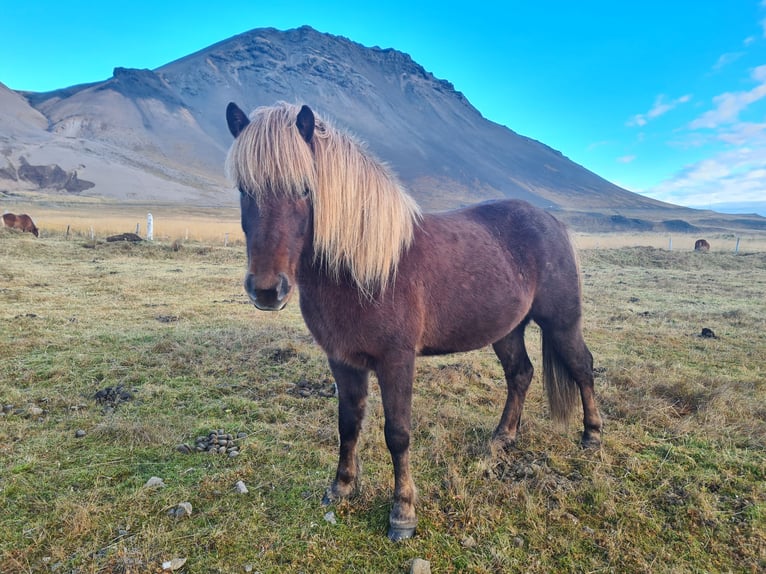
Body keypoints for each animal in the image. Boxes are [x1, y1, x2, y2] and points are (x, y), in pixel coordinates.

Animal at [225, 102, 604, 540]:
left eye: (305, 188)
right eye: (243, 190)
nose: (267, 290)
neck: (365, 268)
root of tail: (552, 222)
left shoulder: (396, 360)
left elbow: (398, 433)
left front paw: (402, 513)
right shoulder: (342, 360)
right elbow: (348, 424)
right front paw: (341, 487)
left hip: (562, 323)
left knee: (582, 367)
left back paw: (592, 436)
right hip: (507, 329)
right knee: (520, 374)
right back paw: (502, 439)